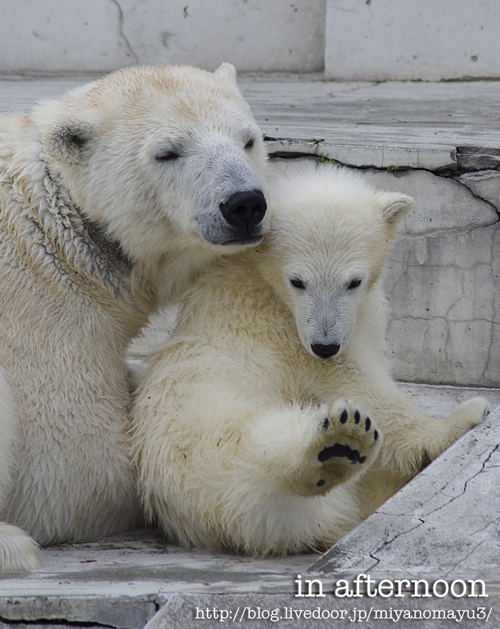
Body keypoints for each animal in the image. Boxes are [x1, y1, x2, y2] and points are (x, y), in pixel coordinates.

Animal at [132, 162, 488, 556]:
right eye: (298, 281)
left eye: (353, 281)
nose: (325, 344)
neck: (259, 276)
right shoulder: (286, 333)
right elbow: (360, 385)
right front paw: (460, 419)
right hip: (211, 434)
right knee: (261, 449)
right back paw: (338, 444)